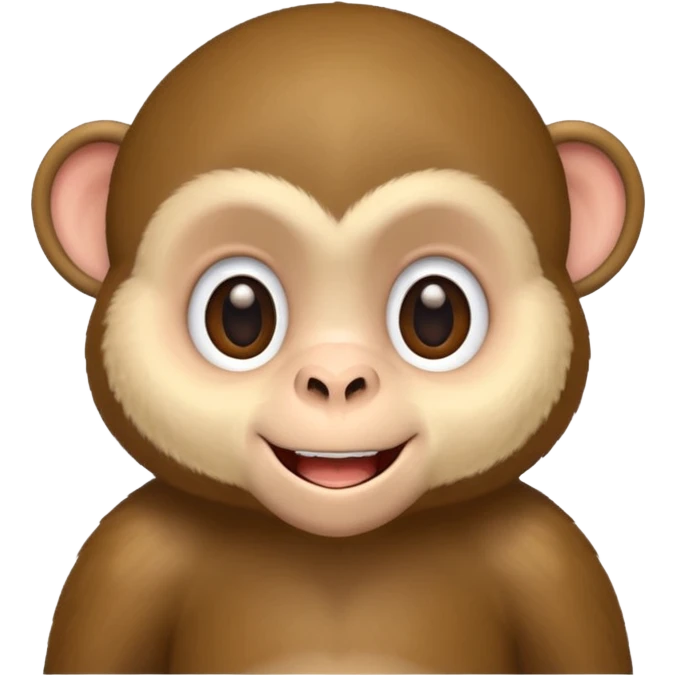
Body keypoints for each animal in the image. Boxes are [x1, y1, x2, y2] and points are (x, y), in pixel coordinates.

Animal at [32, 4, 645, 675]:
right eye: (240, 315)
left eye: (435, 315)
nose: (335, 380)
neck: (338, 545)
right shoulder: (126, 559)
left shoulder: (550, 559)